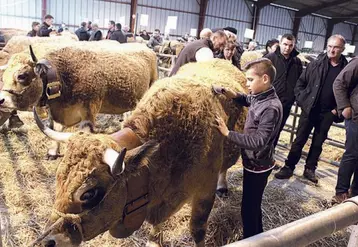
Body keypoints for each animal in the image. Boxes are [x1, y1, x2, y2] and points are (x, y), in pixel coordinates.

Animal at [32, 59, 248, 247]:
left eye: (89, 193)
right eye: (58, 177)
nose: (47, 241)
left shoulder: (205, 192)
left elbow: (197, 230)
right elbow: (157, 228)